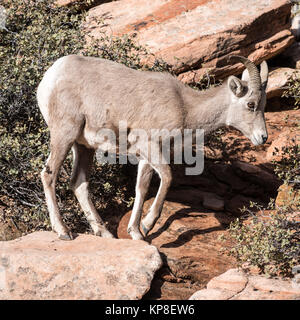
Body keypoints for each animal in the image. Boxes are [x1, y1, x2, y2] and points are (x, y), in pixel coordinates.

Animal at [37, 54, 270, 240]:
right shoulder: (150, 147)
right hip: (64, 135)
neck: (185, 107)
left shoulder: (146, 157)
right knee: (49, 175)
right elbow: (167, 177)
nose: (262, 137)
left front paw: (136, 233)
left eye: (263, 104)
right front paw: (148, 225)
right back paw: (63, 231)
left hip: (84, 146)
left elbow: (142, 188)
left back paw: (105, 233)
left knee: (79, 183)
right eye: (250, 104)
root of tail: (51, 76)